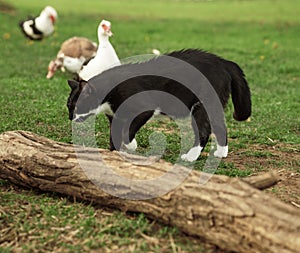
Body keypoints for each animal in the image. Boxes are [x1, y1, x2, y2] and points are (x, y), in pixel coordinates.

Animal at [67, 48, 251, 161]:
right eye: (69, 106)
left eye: (76, 107)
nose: (70, 117)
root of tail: (223, 62)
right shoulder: (114, 116)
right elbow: (115, 132)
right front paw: (114, 153)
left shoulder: (143, 109)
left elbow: (128, 130)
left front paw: (131, 146)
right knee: (220, 126)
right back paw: (221, 153)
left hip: (202, 104)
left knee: (205, 130)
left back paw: (191, 156)